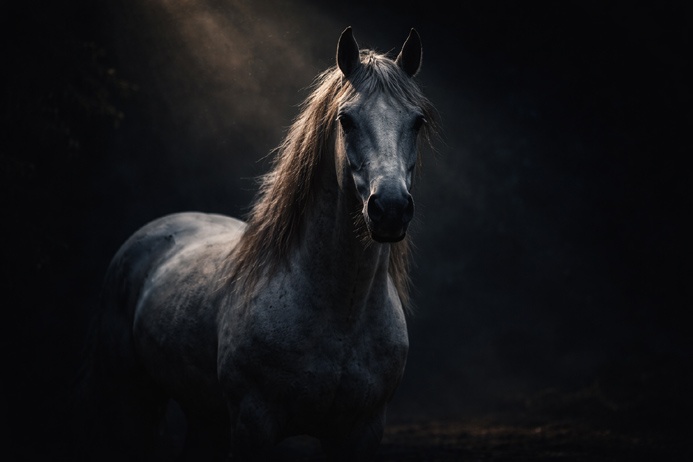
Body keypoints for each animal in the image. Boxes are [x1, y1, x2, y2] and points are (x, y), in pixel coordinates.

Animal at [79, 26, 438, 461]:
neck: (341, 313)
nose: (390, 209)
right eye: (346, 120)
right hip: (130, 396)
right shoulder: (254, 424)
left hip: (205, 417)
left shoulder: (361, 432)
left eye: (417, 121)